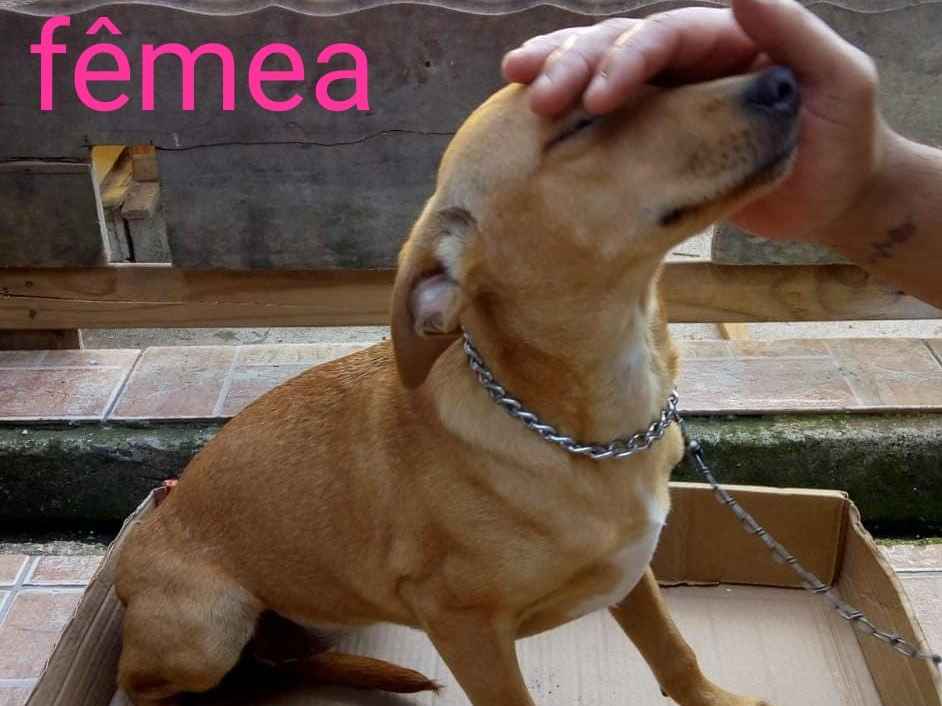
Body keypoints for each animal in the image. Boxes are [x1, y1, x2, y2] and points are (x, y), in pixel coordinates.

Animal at [115, 64, 799, 706]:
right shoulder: (463, 624)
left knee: (290, 662)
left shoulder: (631, 572)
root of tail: (132, 553)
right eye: (581, 121)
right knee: (144, 684)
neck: (584, 430)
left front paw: (716, 700)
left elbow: (673, 650)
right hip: (210, 628)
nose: (784, 80)